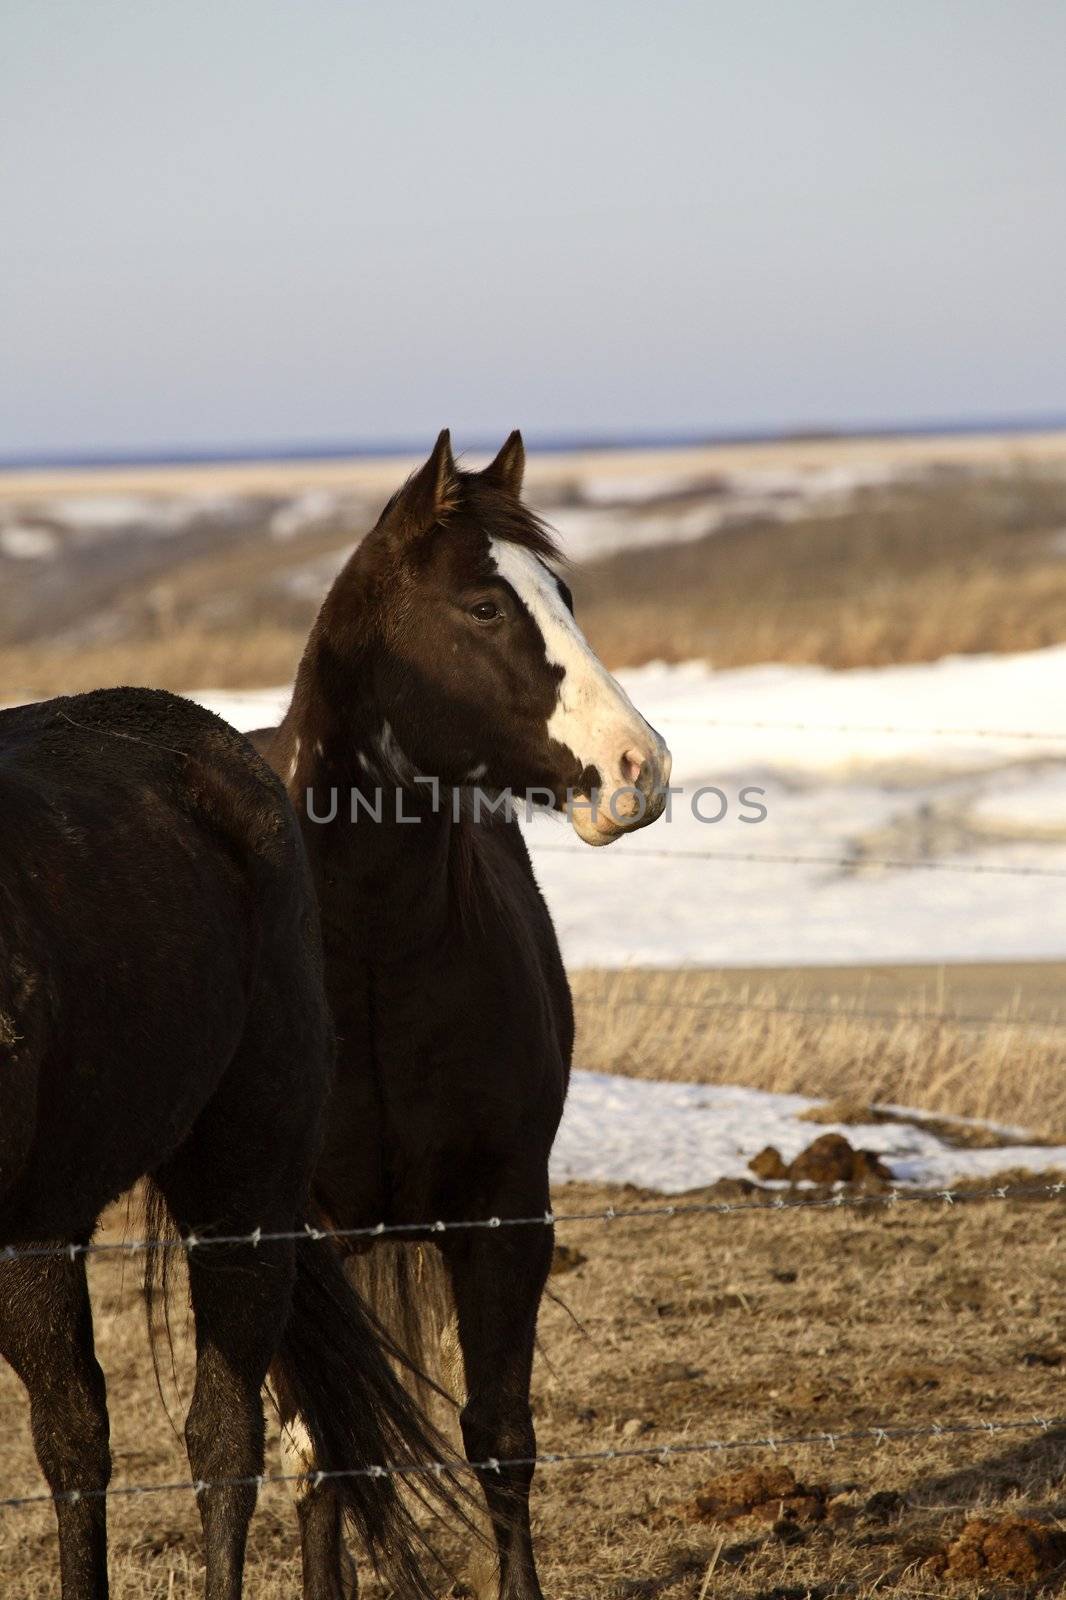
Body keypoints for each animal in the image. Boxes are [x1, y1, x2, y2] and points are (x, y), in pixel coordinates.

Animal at [252, 428, 669, 1600]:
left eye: (564, 593)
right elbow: (324, 1458)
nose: (641, 768)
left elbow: (500, 1438)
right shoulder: (298, 1238)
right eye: (483, 607)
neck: (366, 953)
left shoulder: (504, 1212)